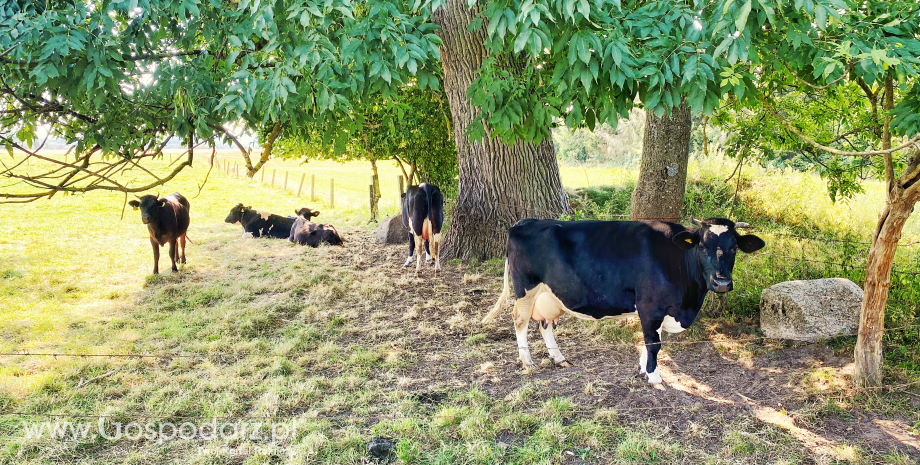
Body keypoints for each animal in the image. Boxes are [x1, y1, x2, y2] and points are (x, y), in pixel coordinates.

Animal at [486, 218, 764, 388]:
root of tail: (525, 221)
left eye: (734, 247)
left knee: (544, 324)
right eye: (703, 246)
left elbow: (652, 339)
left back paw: (559, 358)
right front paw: (654, 376)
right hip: (526, 288)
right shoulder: (650, 304)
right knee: (520, 321)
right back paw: (527, 361)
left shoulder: (659, 309)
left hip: (549, 295)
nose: (721, 283)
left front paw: (643, 368)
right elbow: (654, 343)